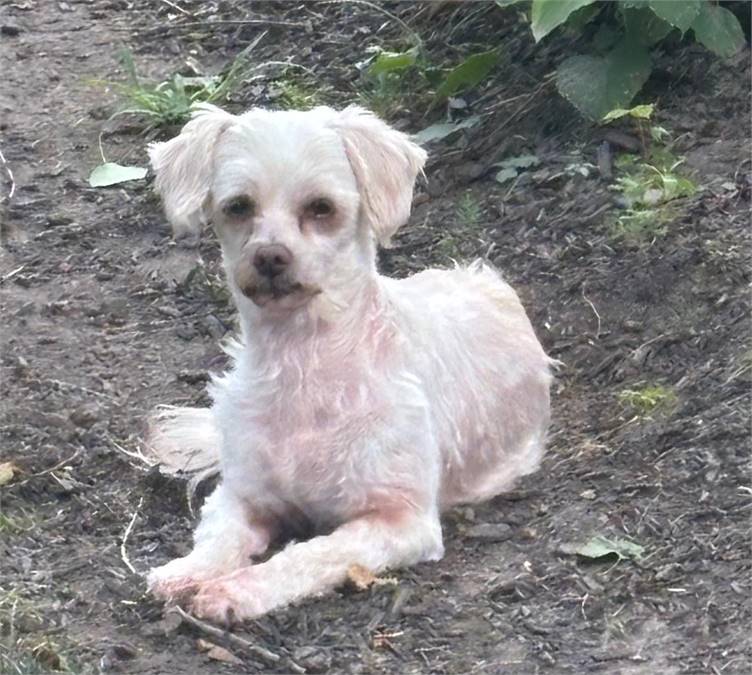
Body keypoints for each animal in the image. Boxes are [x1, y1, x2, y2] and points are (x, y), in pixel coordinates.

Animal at [145, 103, 552, 624]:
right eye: (238, 206)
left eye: (321, 207)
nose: (270, 256)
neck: (303, 361)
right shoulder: (241, 494)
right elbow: (219, 538)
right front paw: (188, 571)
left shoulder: (402, 520)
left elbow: (311, 553)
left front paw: (238, 590)